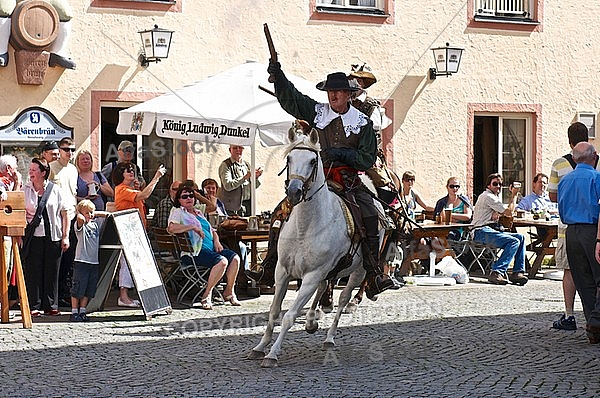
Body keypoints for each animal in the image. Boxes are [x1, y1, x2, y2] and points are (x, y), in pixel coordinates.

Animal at [247, 124, 366, 366]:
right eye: (289, 158)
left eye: (312, 161)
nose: (294, 191)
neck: (306, 226)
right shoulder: (282, 272)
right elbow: (274, 311)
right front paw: (261, 346)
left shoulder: (312, 275)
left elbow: (289, 316)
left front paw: (272, 353)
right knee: (324, 288)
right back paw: (312, 321)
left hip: (358, 271)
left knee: (343, 298)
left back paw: (329, 337)